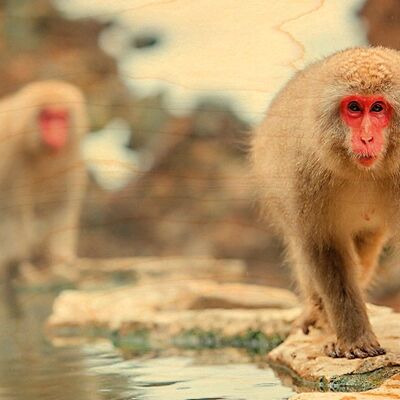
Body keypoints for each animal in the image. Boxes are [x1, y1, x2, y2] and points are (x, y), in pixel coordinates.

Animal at [252, 47, 400, 360]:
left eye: (377, 108)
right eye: (354, 107)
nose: (366, 138)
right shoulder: (304, 176)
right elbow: (323, 247)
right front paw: (354, 338)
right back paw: (321, 317)